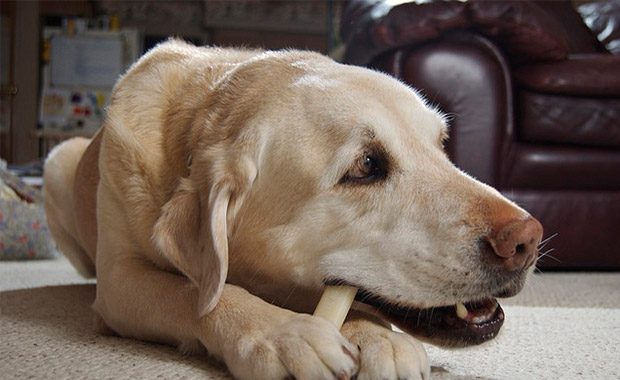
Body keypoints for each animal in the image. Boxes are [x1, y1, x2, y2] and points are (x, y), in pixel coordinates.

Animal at [44, 40, 544, 378]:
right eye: (366, 166)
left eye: (441, 144)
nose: (528, 239)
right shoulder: (118, 280)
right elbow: (194, 293)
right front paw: (282, 335)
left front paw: (377, 337)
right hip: (57, 163)